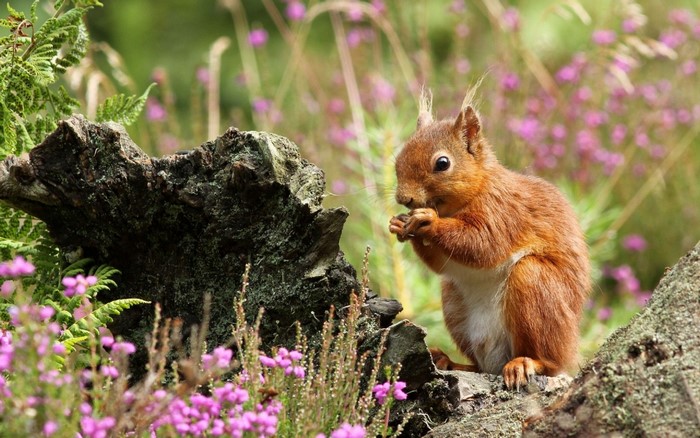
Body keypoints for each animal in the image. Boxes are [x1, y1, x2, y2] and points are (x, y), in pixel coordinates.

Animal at [389, 90, 591, 389]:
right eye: (398, 159)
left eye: (442, 163)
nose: (404, 198)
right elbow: (442, 263)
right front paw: (398, 223)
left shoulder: (504, 211)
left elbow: (482, 244)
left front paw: (428, 221)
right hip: (454, 304)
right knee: (478, 365)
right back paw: (449, 361)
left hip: (535, 283)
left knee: (549, 362)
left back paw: (525, 363)